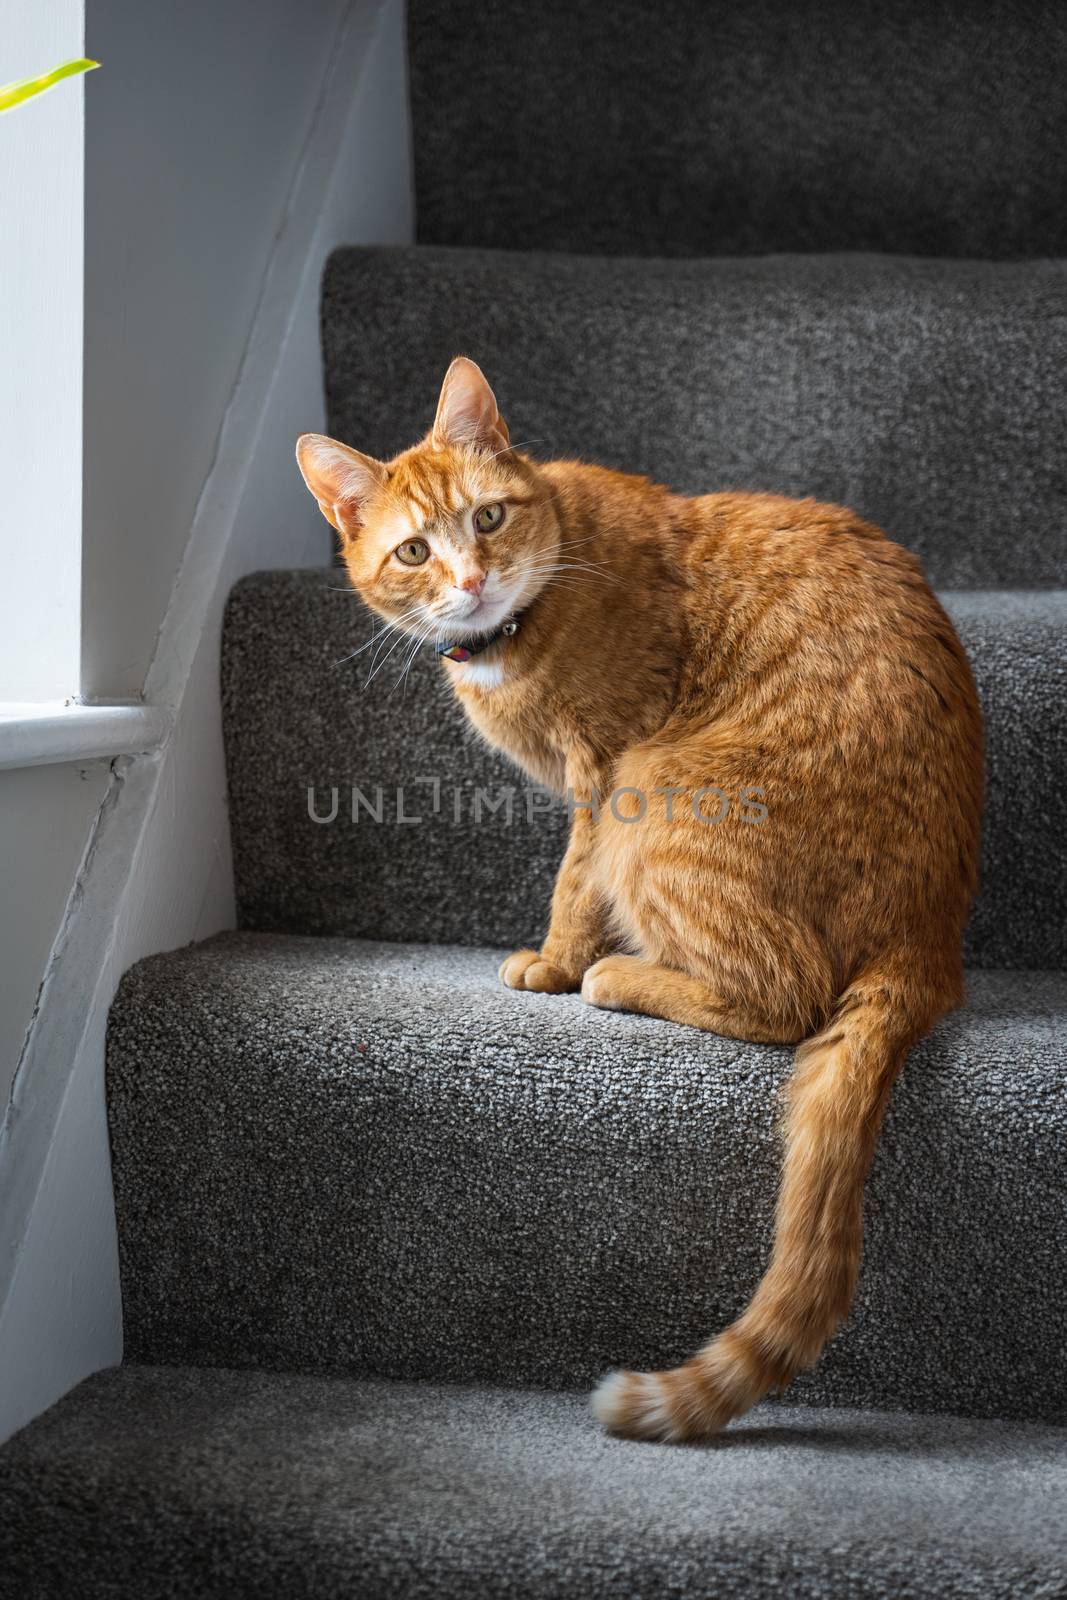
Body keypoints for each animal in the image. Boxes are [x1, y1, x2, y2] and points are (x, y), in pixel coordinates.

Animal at [299, 356, 985, 1446]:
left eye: (487, 519)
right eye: (413, 550)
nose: (470, 580)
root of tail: (932, 928)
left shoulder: (603, 769)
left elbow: (572, 886)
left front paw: (554, 961)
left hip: (656, 796)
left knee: (787, 998)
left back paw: (620, 977)